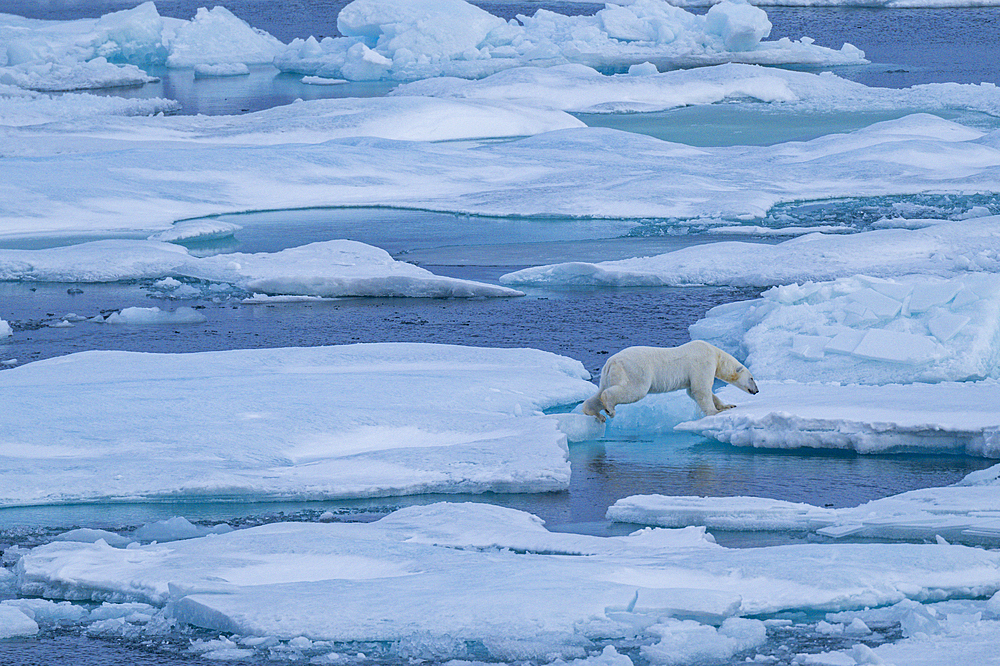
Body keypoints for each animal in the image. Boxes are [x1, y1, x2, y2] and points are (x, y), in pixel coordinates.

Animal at [584, 340, 752, 422]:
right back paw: (610, 409)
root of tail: (611, 361)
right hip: (635, 371)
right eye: (751, 378)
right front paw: (715, 412)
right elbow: (701, 389)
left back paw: (596, 414)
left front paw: (728, 405)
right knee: (633, 390)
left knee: (597, 394)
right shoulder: (703, 362)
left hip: (607, 376)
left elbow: (693, 391)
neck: (716, 354)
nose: (755, 390)